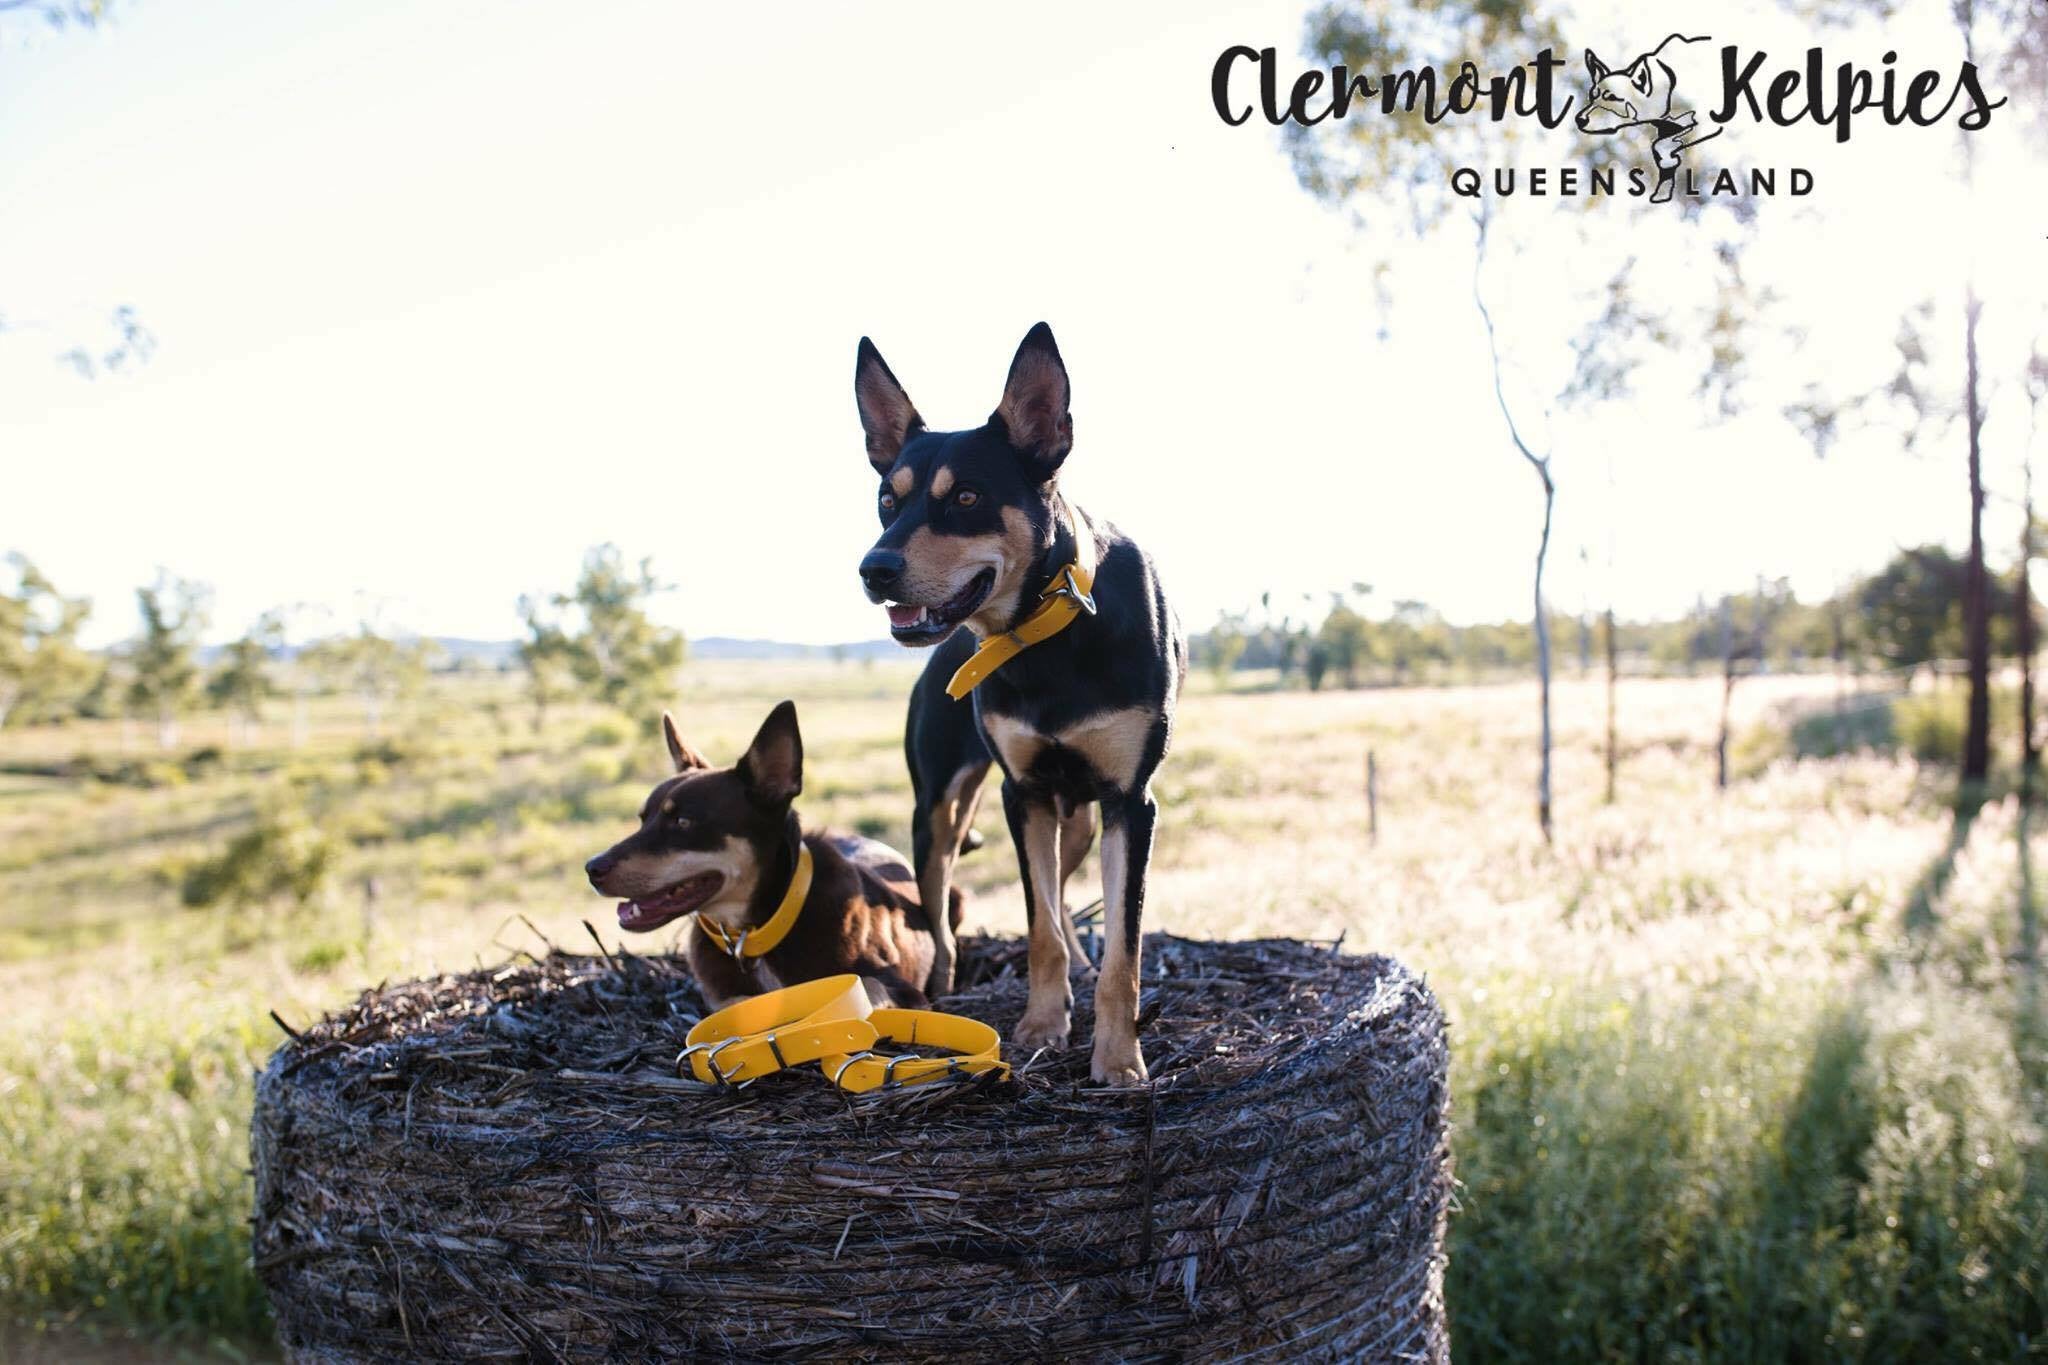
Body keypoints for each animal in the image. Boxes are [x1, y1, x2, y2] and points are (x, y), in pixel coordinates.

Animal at [585, 712, 950, 1010]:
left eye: (683, 822)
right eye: (643, 819)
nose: (592, 869)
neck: (755, 934)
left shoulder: (907, 992)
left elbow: (866, 984)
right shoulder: (720, 994)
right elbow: (735, 1004)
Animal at [847, 323, 1187, 1088]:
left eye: (969, 496)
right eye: (888, 499)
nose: (874, 570)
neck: (1044, 640)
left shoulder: (1131, 801)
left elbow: (1121, 947)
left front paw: (1117, 1057)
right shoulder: (1021, 791)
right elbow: (1038, 930)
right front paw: (1039, 1026)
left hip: (1082, 817)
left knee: (1065, 893)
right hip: (939, 807)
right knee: (944, 899)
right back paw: (944, 983)